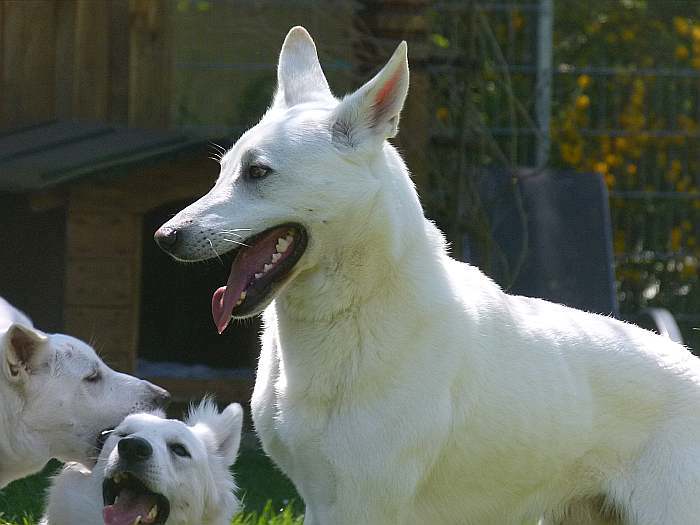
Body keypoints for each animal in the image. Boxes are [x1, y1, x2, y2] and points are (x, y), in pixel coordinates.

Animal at [156, 26, 700, 524]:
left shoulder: (362, 504)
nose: (164, 237)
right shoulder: (319, 502)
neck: (352, 311)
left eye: (258, 173)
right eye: (223, 170)